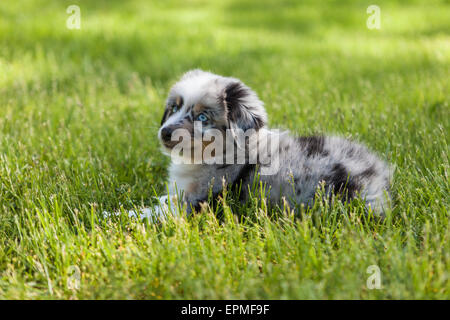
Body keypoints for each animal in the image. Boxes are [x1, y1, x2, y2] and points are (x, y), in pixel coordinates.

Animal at [133, 69, 390, 220]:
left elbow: (153, 212)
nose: (165, 133)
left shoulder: (196, 203)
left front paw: (125, 214)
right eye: (174, 108)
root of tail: (378, 176)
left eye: (203, 117)